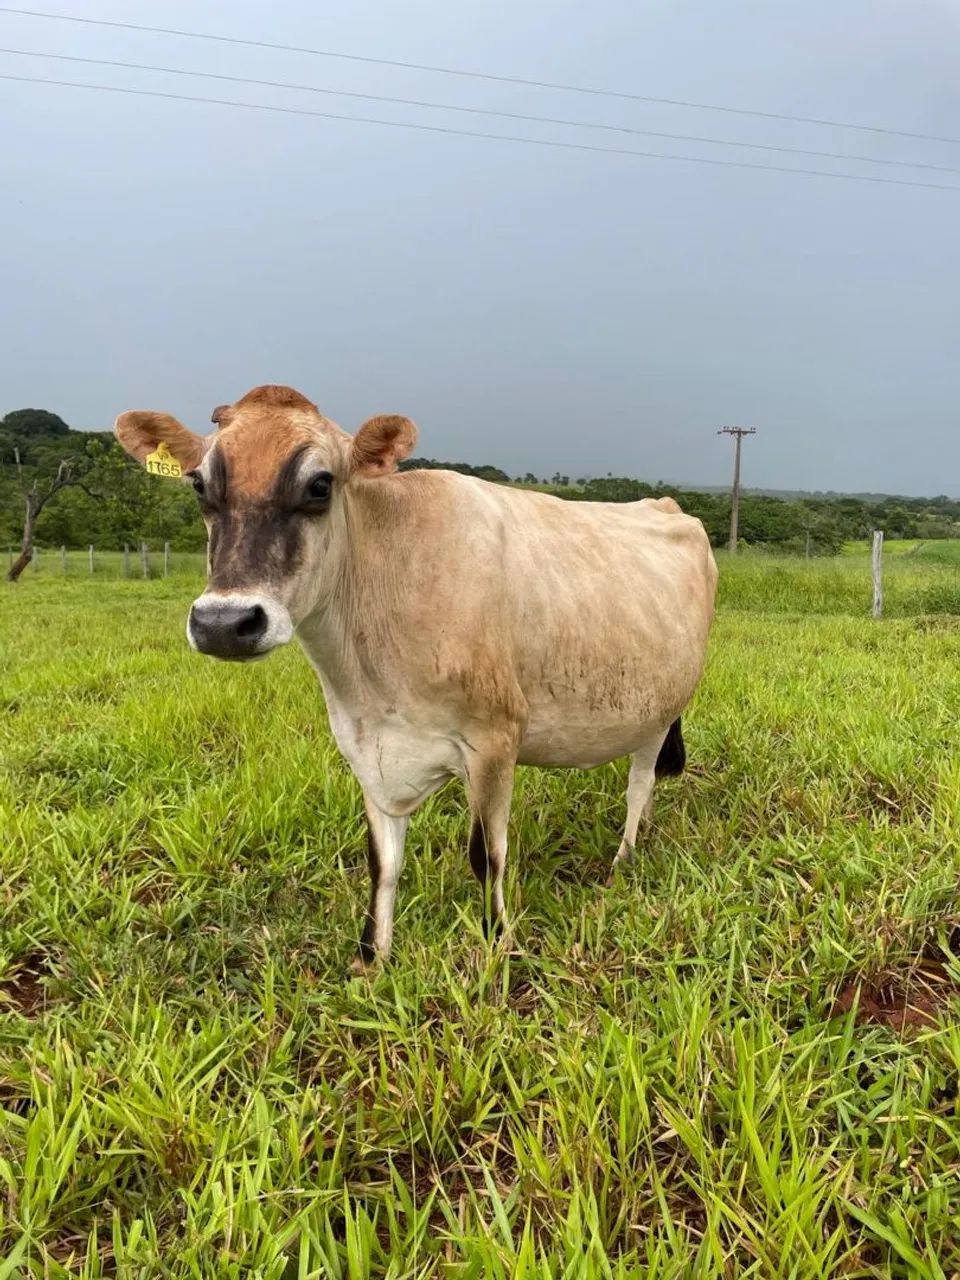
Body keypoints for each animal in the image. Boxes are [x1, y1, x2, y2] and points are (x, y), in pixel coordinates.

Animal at [115, 384, 717, 972]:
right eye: (199, 485)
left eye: (319, 485)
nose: (224, 623)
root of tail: (666, 503)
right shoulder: (363, 746)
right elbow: (382, 861)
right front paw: (372, 957)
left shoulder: (495, 739)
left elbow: (487, 856)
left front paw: (499, 947)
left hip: (660, 710)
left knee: (639, 784)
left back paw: (624, 858)